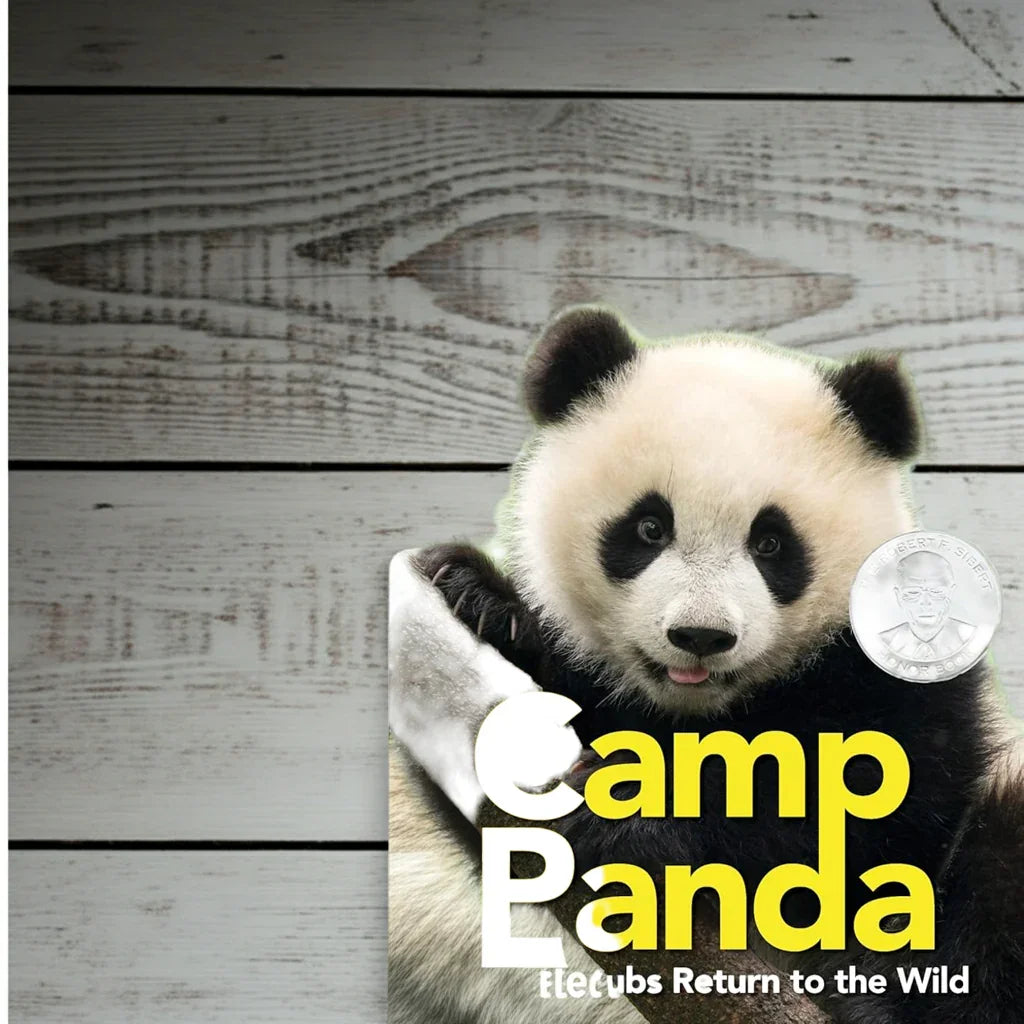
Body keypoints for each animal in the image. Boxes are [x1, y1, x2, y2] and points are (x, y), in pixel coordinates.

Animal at [394, 307, 1024, 1024]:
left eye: (771, 543)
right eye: (648, 528)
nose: (700, 635)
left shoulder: (897, 684)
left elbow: (856, 807)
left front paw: (631, 821)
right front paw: (477, 595)